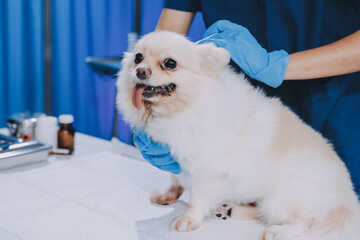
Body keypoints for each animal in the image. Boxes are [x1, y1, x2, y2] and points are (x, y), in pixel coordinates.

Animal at [116, 31, 358, 239]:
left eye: (170, 63)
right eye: (138, 58)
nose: (140, 71)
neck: (182, 108)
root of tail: (346, 198)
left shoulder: (206, 172)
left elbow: (196, 200)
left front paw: (188, 220)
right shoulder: (172, 157)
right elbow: (175, 180)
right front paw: (168, 195)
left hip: (283, 195)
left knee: (303, 224)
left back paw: (276, 232)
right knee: (259, 212)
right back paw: (229, 211)